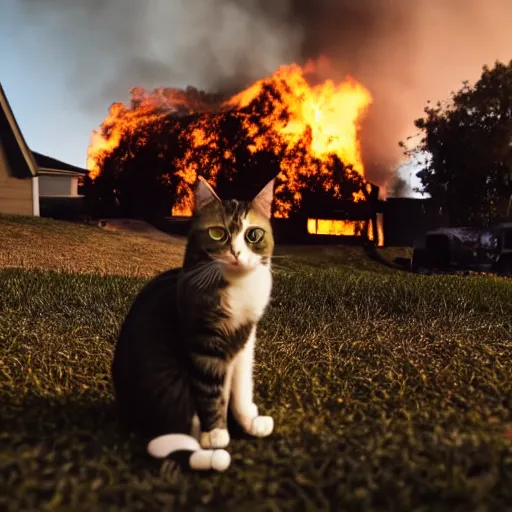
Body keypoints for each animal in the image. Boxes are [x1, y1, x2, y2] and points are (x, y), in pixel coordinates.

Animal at [112, 176, 276, 472]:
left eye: (253, 235)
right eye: (217, 234)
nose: (236, 252)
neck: (238, 287)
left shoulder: (246, 341)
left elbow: (241, 385)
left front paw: (249, 421)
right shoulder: (205, 342)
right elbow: (211, 390)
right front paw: (217, 434)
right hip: (171, 385)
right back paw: (211, 456)